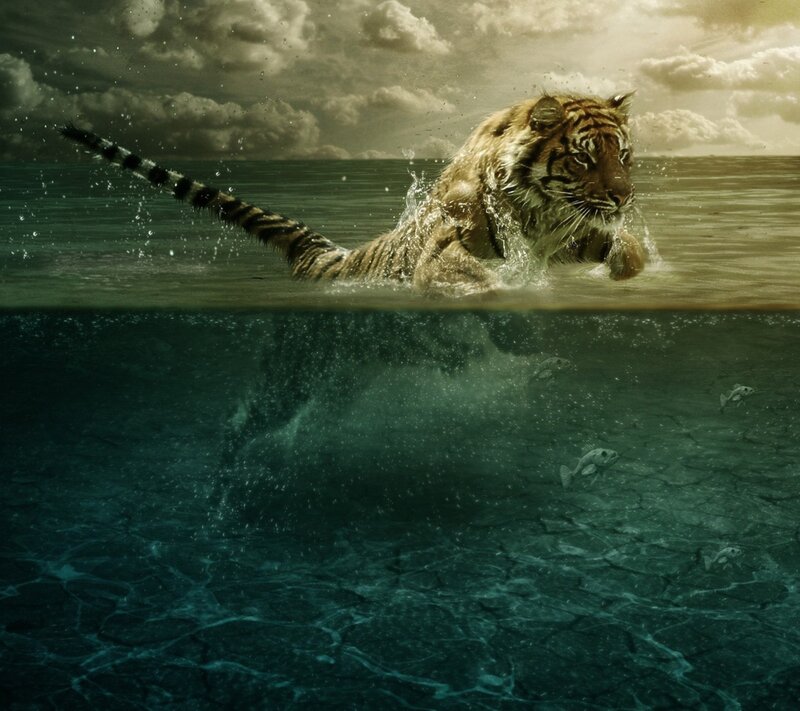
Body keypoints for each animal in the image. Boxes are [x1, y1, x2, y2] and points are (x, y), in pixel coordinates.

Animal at [60, 93, 645, 295]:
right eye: (583, 158)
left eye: (624, 155)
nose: (623, 198)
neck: (541, 215)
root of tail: (325, 255)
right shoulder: (447, 244)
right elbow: (469, 276)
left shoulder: (572, 234)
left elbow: (627, 251)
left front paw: (627, 269)